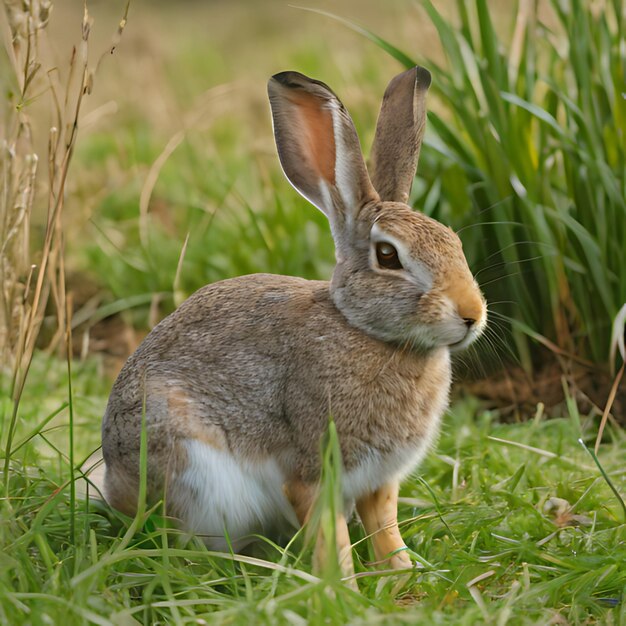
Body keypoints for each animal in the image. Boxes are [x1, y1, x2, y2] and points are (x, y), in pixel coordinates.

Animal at [101, 66, 488, 576]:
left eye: (454, 243)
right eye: (388, 256)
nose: (472, 314)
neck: (367, 332)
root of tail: (114, 487)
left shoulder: (378, 480)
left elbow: (386, 528)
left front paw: (403, 577)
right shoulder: (313, 469)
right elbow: (329, 535)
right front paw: (342, 586)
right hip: (188, 468)